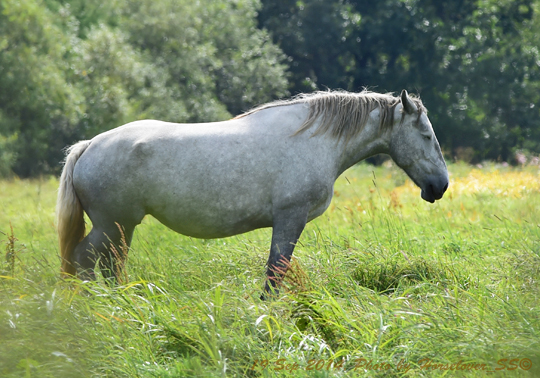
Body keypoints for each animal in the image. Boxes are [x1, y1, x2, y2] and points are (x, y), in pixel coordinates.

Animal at [58, 90, 448, 296]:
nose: (440, 186)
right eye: (427, 134)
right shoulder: (290, 219)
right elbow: (276, 270)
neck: (314, 139)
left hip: (121, 229)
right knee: (85, 260)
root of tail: (89, 145)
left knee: (107, 266)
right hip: (112, 226)